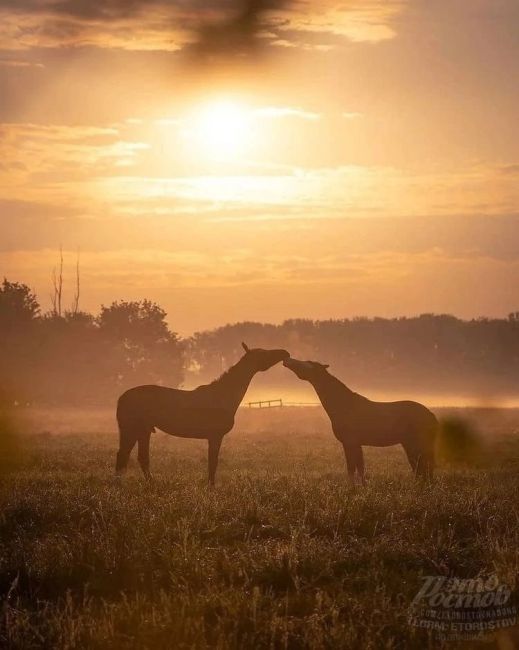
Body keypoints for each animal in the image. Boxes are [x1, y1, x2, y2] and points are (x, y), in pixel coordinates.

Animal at [115, 342, 290, 484]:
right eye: (264, 353)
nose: (285, 353)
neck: (223, 395)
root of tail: (122, 397)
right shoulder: (215, 436)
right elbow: (213, 462)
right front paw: (211, 487)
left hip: (143, 431)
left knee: (139, 457)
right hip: (132, 430)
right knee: (124, 456)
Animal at [282, 354, 436, 480]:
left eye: (308, 363)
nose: (287, 360)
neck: (344, 405)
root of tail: (430, 415)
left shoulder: (350, 442)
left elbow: (352, 469)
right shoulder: (355, 444)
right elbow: (359, 469)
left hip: (415, 445)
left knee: (423, 471)